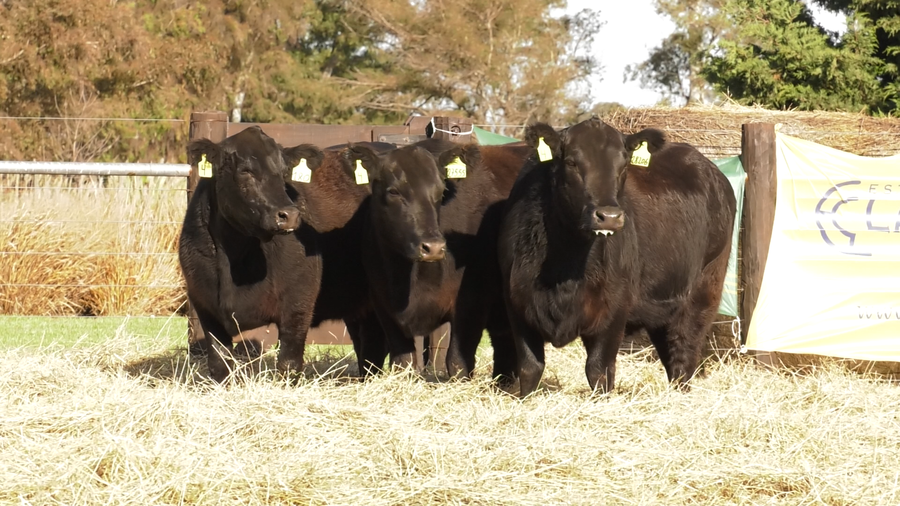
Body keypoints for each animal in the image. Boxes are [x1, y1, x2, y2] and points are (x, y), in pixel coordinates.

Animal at [179, 126, 325, 382]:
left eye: (285, 172)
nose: (289, 215)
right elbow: (219, 362)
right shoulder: (204, 305)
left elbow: (288, 363)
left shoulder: (299, 303)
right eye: (245, 171)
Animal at [346, 139, 530, 382]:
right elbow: (403, 362)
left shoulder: (471, 302)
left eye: (441, 192)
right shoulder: (383, 305)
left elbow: (457, 361)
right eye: (394, 191)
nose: (432, 247)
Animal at [498, 117, 736, 397]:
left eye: (623, 166)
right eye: (572, 162)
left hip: (703, 290)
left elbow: (599, 370)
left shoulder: (614, 307)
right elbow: (530, 368)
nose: (609, 216)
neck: (564, 266)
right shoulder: (516, 302)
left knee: (683, 355)